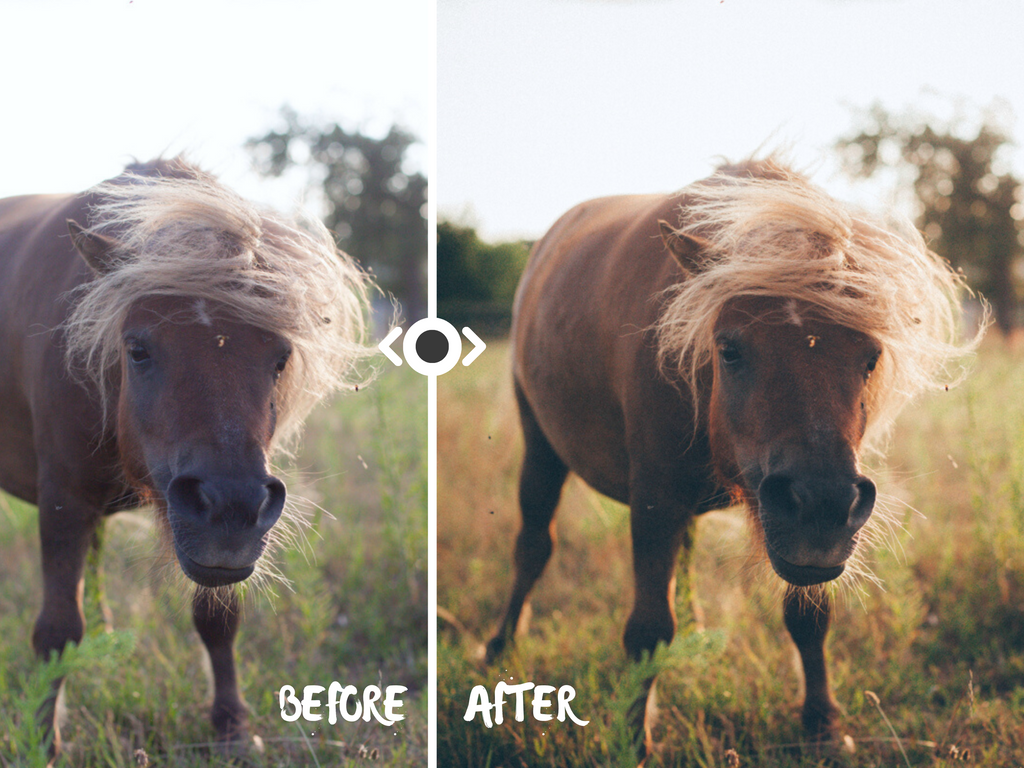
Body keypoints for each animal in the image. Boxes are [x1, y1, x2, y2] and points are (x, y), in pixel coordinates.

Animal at [0, 157, 372, 758]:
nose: (231, 507)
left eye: (280, 357)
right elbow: (57, 629)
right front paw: (42, 743)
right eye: (137, 349)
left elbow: (218, 618)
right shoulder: (63, 500)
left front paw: (232, 728)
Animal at [486, 158, 980, 757]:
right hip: (541, 447)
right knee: (533, 545)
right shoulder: (655, 501)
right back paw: (501, 647)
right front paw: (634, 741)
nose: (822, 507)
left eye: (870, 357)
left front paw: (823, 725)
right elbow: (648, 628)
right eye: (729, 349)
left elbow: (809, 618)